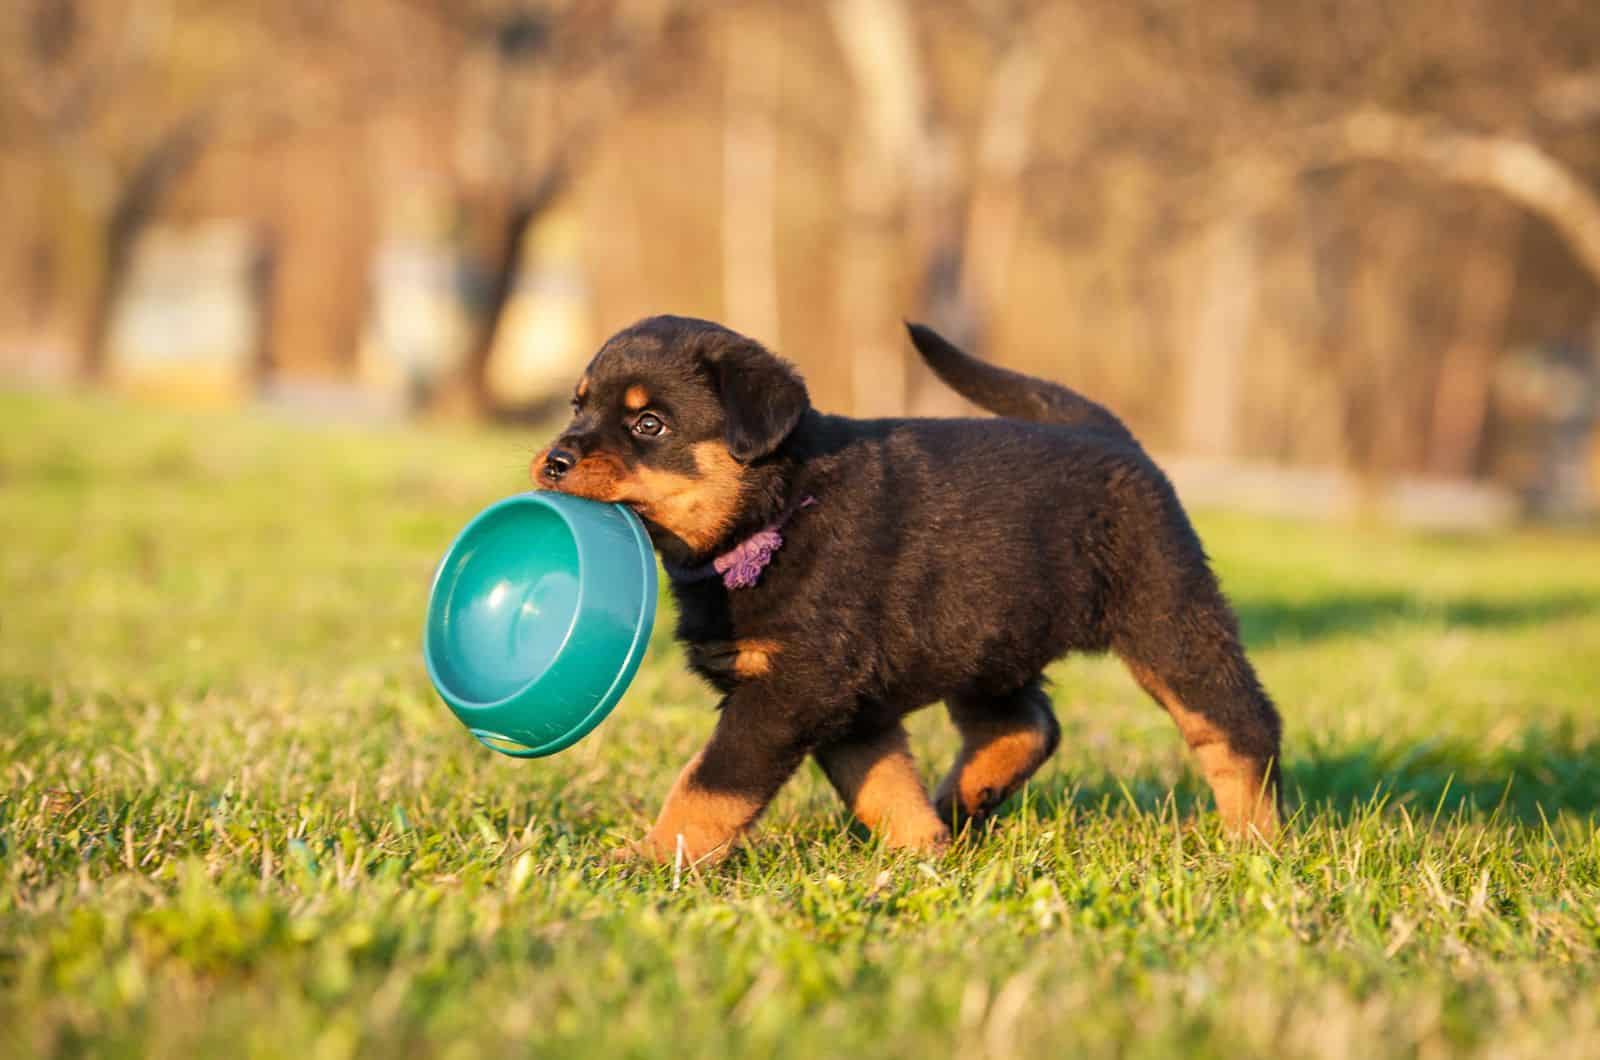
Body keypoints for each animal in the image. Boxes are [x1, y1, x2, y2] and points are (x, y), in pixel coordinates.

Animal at [531, 313, 1280, 864]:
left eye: (648, 424)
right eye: (577, 406)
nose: (554, 460)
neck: (778, 511)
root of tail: (1111, 433)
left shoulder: (793, 687)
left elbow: (709, 782)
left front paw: (649, 858)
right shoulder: (848, 702)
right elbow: (884, 785)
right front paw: (922, 853)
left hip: (1167, 616)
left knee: (1239, 726)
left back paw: (1256, 840)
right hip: (990, 636)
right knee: (1026, 725)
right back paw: (963, 801)